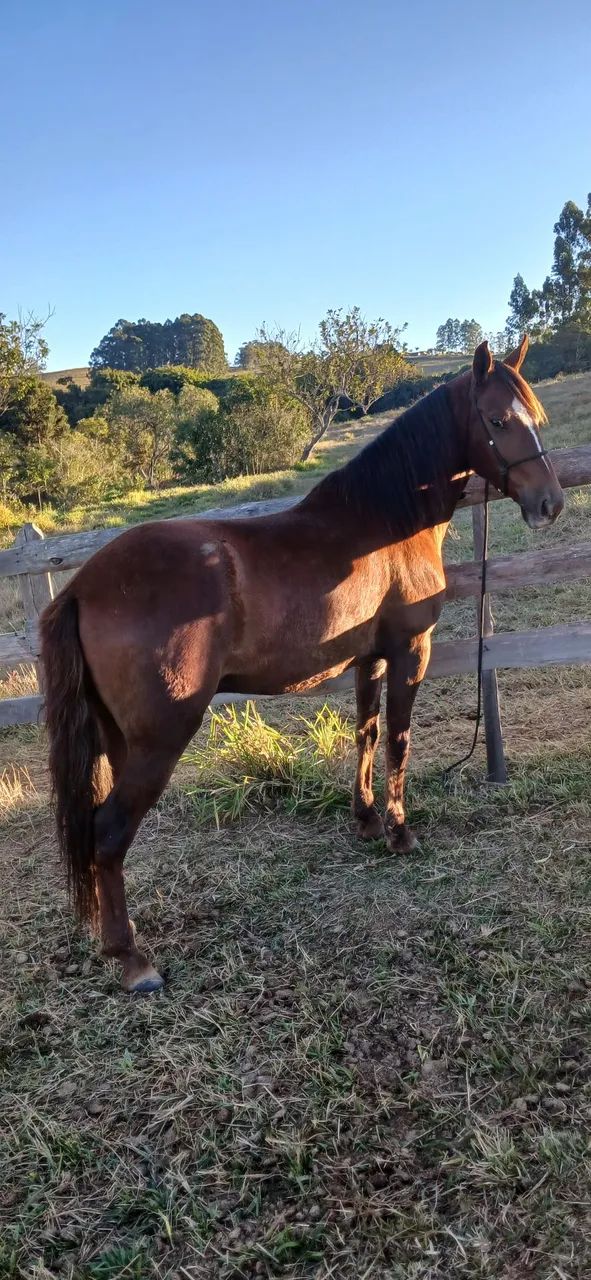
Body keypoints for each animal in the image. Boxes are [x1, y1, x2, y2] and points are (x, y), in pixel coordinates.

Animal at [40, 337, 564, 993]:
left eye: (535, 416)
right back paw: (134, 960)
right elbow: (399, 737)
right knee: (110, 833)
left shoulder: (368, 659)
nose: (551, 504)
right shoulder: (409, 651)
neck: (384, 522)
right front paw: (400, 830)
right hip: (161, 738)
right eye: (497, 421)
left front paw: (366, 821)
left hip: (119, 740)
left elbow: (366, 734)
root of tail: (83, 585)